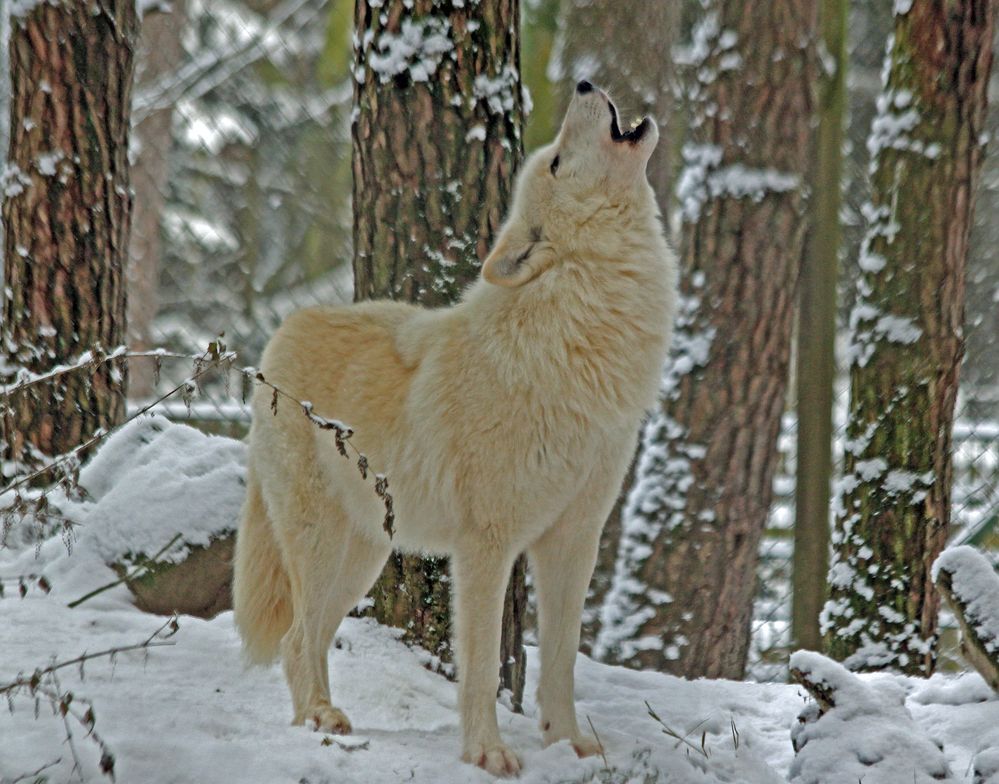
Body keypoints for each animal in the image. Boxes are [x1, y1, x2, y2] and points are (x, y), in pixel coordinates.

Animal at [230, 82, 676, 776]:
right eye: (554, 162)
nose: (583, 85)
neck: (575, 329)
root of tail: (285, 330)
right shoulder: (485, 545)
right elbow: (482, 665)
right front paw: (487, 752)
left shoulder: (573, 540)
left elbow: (563, 660)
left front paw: (569, 745)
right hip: (323, 542)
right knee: (299, 636)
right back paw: (321, 719)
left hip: (365, 553)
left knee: (308, 637)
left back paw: (319, 715)